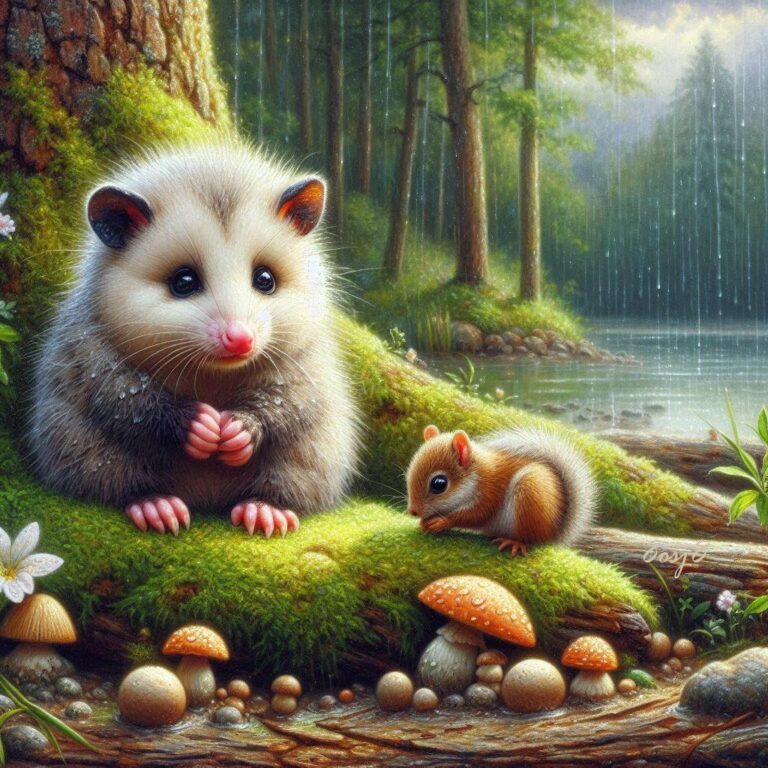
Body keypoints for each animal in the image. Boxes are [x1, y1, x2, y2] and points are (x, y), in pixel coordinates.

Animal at [29, 142, 360, 537]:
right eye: (183, 281)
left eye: (265, 279)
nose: (239, 339)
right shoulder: (91, 347)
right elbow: (120, 398)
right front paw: (196, 424)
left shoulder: (308, 357)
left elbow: (296, 399)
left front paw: (242, 429)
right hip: (76, 441)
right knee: (111, 477)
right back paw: (154, 505)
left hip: (318, 451)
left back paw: (265, 509)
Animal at [406, 425, 597, 555]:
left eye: (439, 484)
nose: (413, 511)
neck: (476, 473)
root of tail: (554, 532)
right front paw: (423, 522)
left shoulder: (490, 490)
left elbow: (477, 514)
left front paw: (442, 522)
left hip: (529, 492)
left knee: (531, 538)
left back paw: (515, 542)